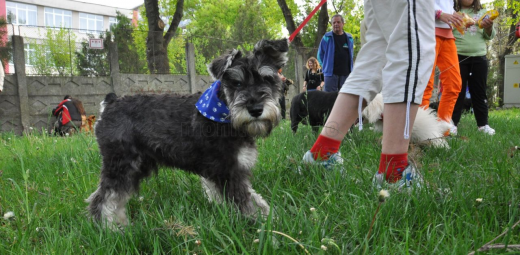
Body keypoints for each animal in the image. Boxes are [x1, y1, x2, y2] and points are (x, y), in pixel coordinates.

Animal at [85, 38, 288, 229]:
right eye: (236, 83)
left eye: (267, 79)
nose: (256, 109)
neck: (226, 114)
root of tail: (110, 103)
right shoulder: (229, 171)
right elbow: (248, 202)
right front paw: (266, 225)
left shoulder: (222, 172)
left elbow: (253, 198)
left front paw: (270, 218)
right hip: (122, 163)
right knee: (104, 199)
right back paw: (111, 229)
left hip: (137, 165)